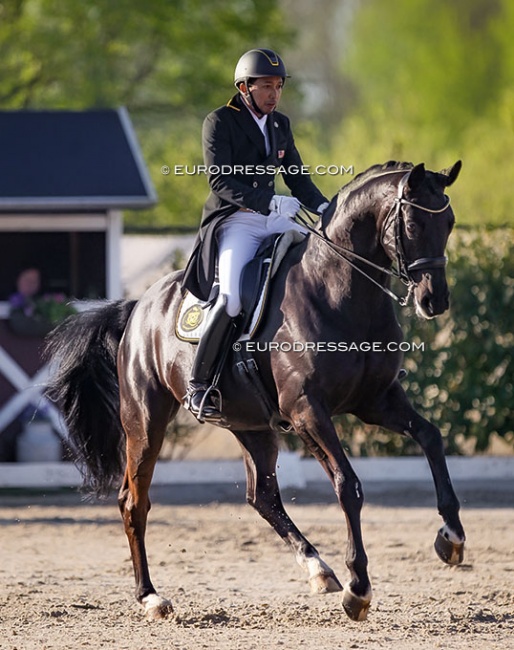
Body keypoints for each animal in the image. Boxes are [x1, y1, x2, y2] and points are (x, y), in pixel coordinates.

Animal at [45, 159, 464, 620]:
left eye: (448, 222)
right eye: (412, 222)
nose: (434, 301)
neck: (339, 294)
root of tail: (139, 305)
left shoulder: (377, 401)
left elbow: (431, 437)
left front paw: (451, 537)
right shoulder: (307, 411)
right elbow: (347, 484)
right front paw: (359, 588)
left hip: (250, 425)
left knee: (262, 496)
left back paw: (318, 569)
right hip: (145, 420)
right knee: (134, 502)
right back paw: (151, 597)